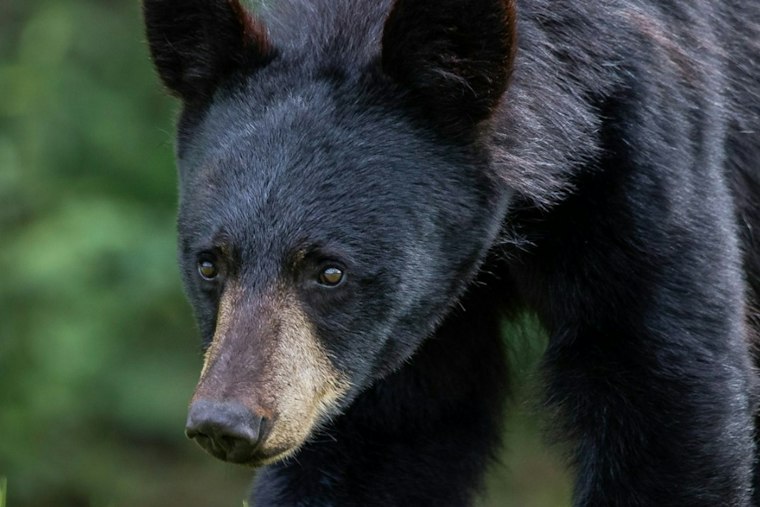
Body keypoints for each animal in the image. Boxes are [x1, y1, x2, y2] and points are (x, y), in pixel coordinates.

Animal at [142, 0, 760, 505]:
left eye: (330, 272)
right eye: (209, 264)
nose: (227, 423)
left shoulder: (640, 160)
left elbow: (669, 396)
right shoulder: (392, 331)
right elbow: (384, 441)